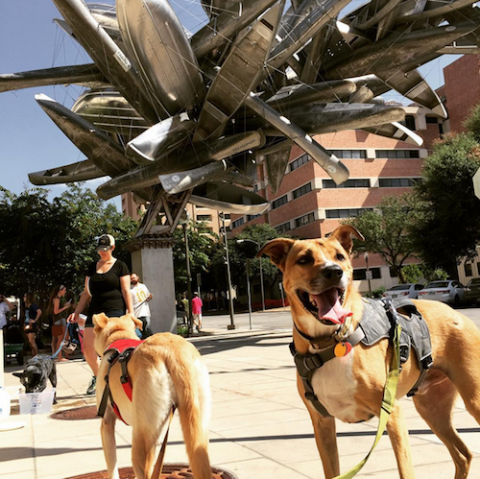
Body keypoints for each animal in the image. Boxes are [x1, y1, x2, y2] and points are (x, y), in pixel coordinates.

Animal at [93, 314, 212, 479]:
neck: (119, 334)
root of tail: (175, 352)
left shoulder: (106, 423)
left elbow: (112, 468)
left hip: (142, 441)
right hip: (196, 427)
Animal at [258, 227, 480, 479]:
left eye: (339, 257)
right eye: (304, 259)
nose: (333, 271)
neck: (329, 342)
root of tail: (457, 313)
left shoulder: (391, 413)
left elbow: (405, 471)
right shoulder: (322, 423)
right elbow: (332, 471)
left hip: (473, 398)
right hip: (431, 407)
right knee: (463, 455)